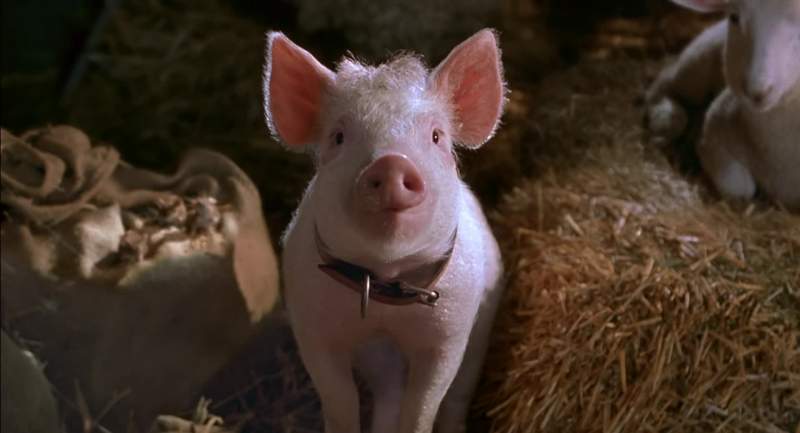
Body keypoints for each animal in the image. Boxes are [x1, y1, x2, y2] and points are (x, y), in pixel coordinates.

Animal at [263, 29, 506, 433]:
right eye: (339, 137)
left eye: (436, 136)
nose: (391, 163)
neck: (383, 288)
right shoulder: (313, 327)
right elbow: (340, 401)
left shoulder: (448, 333)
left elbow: (424, 405)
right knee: (389, 392)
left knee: (457, 395)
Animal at [646, 0, 800, 209]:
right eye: (734, 17)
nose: (757, 91)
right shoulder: (712, 131)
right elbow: (740, 188)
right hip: (697, 61)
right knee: (662, 85)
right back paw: (667, 119)